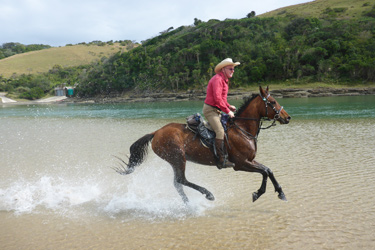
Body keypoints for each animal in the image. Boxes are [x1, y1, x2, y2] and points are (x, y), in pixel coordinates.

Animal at [116, 86, 292, 203]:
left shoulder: (250, 160)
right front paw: (261, 193)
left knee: (177, 183)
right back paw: (207, 195)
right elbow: (265, 171)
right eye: (273, 102)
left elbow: (268, 170)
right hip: (178, 158)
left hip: (174, 160)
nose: (288, 117)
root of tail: (156, 132)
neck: (242, 129)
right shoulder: (241, 163)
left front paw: (278, 193)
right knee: (181, 180)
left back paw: (188, 203)